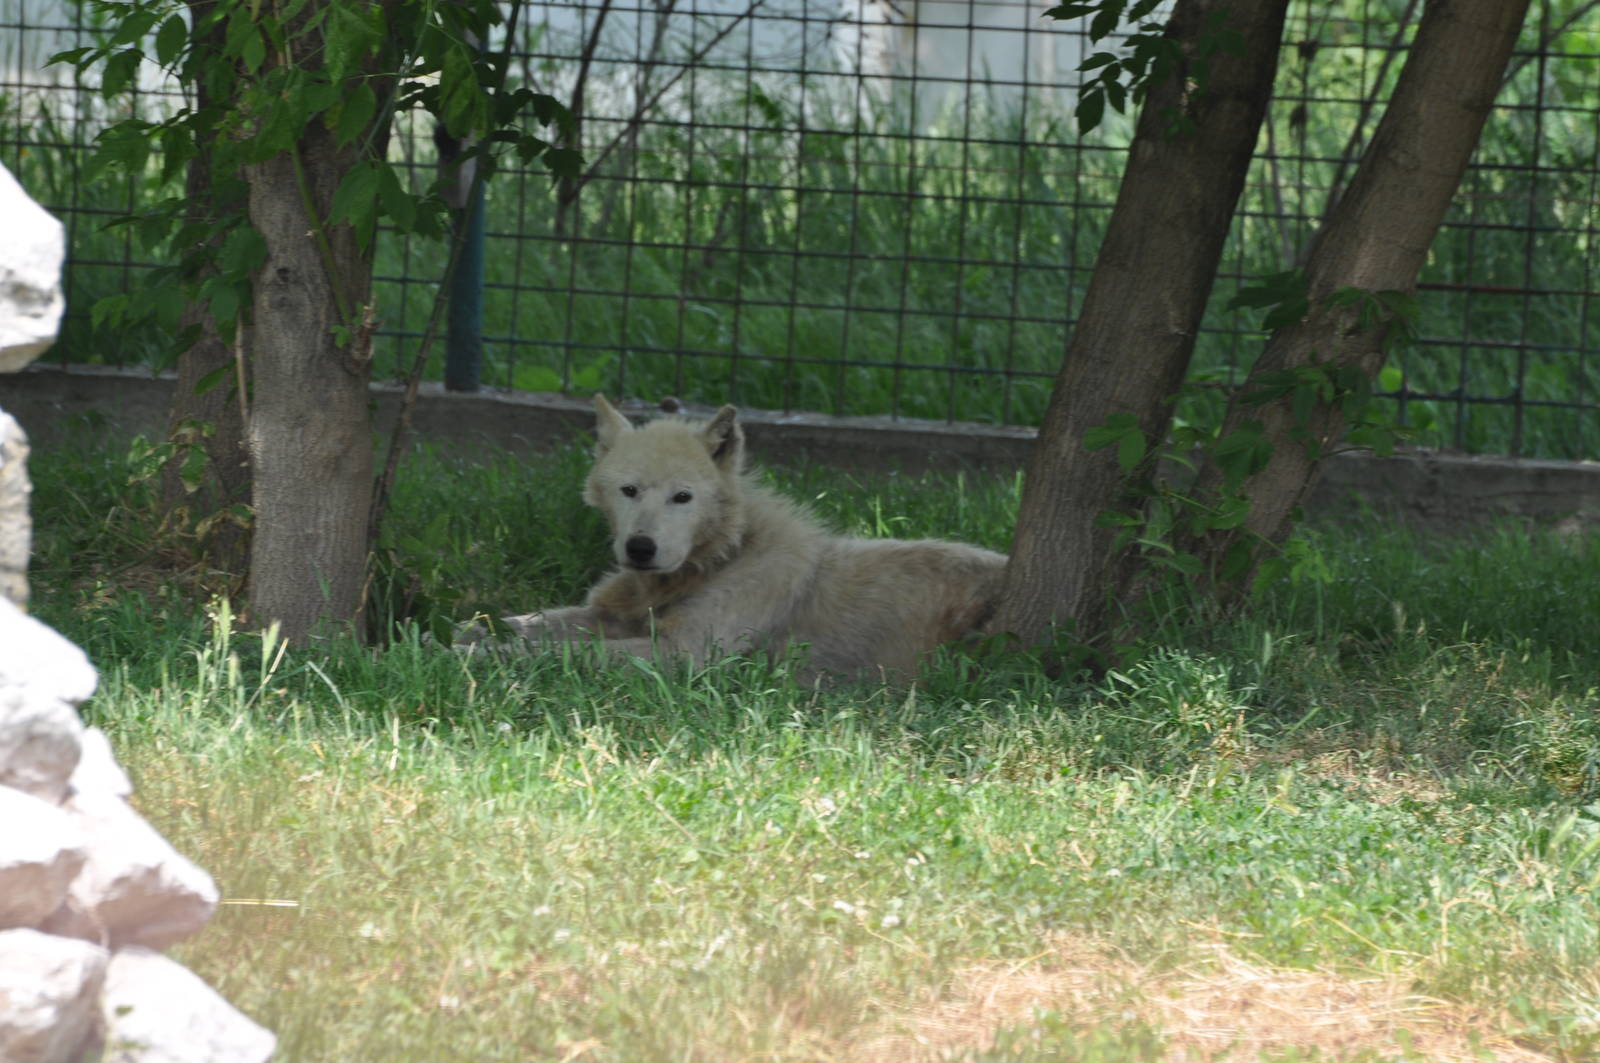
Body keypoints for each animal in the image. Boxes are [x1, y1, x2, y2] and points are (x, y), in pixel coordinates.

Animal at [465, 395, 1008, 681]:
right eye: (629, 491)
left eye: (682, 497)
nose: (640, 549)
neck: (725, 557)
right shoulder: (611, 615)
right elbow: (526, 623)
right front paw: (468, 633)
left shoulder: (682, 655)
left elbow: (556, 652)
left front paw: (480, 658)